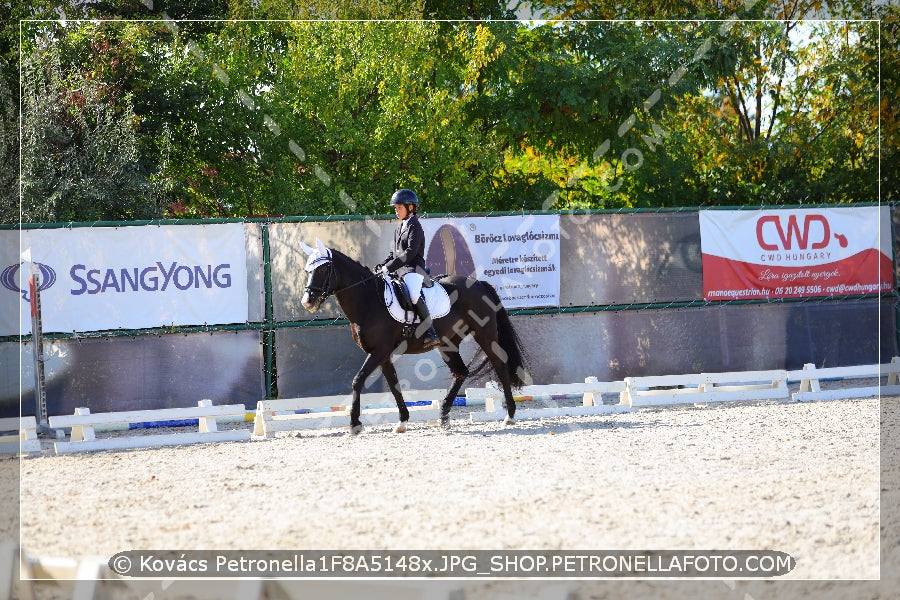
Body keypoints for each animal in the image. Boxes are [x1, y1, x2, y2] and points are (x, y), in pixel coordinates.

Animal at [298, 238, 532, 432]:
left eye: (323, 269)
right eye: (308, 270)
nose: (307, 301)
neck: (368, 301)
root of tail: (479, 284)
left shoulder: (379, 351)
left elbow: (357, 381)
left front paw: (355, 423)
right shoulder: (383, 355)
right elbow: (394, 386)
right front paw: (402, 421)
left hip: (484, 335)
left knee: (500, 365)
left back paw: (509, 416)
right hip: (447, 344)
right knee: (461, 372)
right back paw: (443, 415)